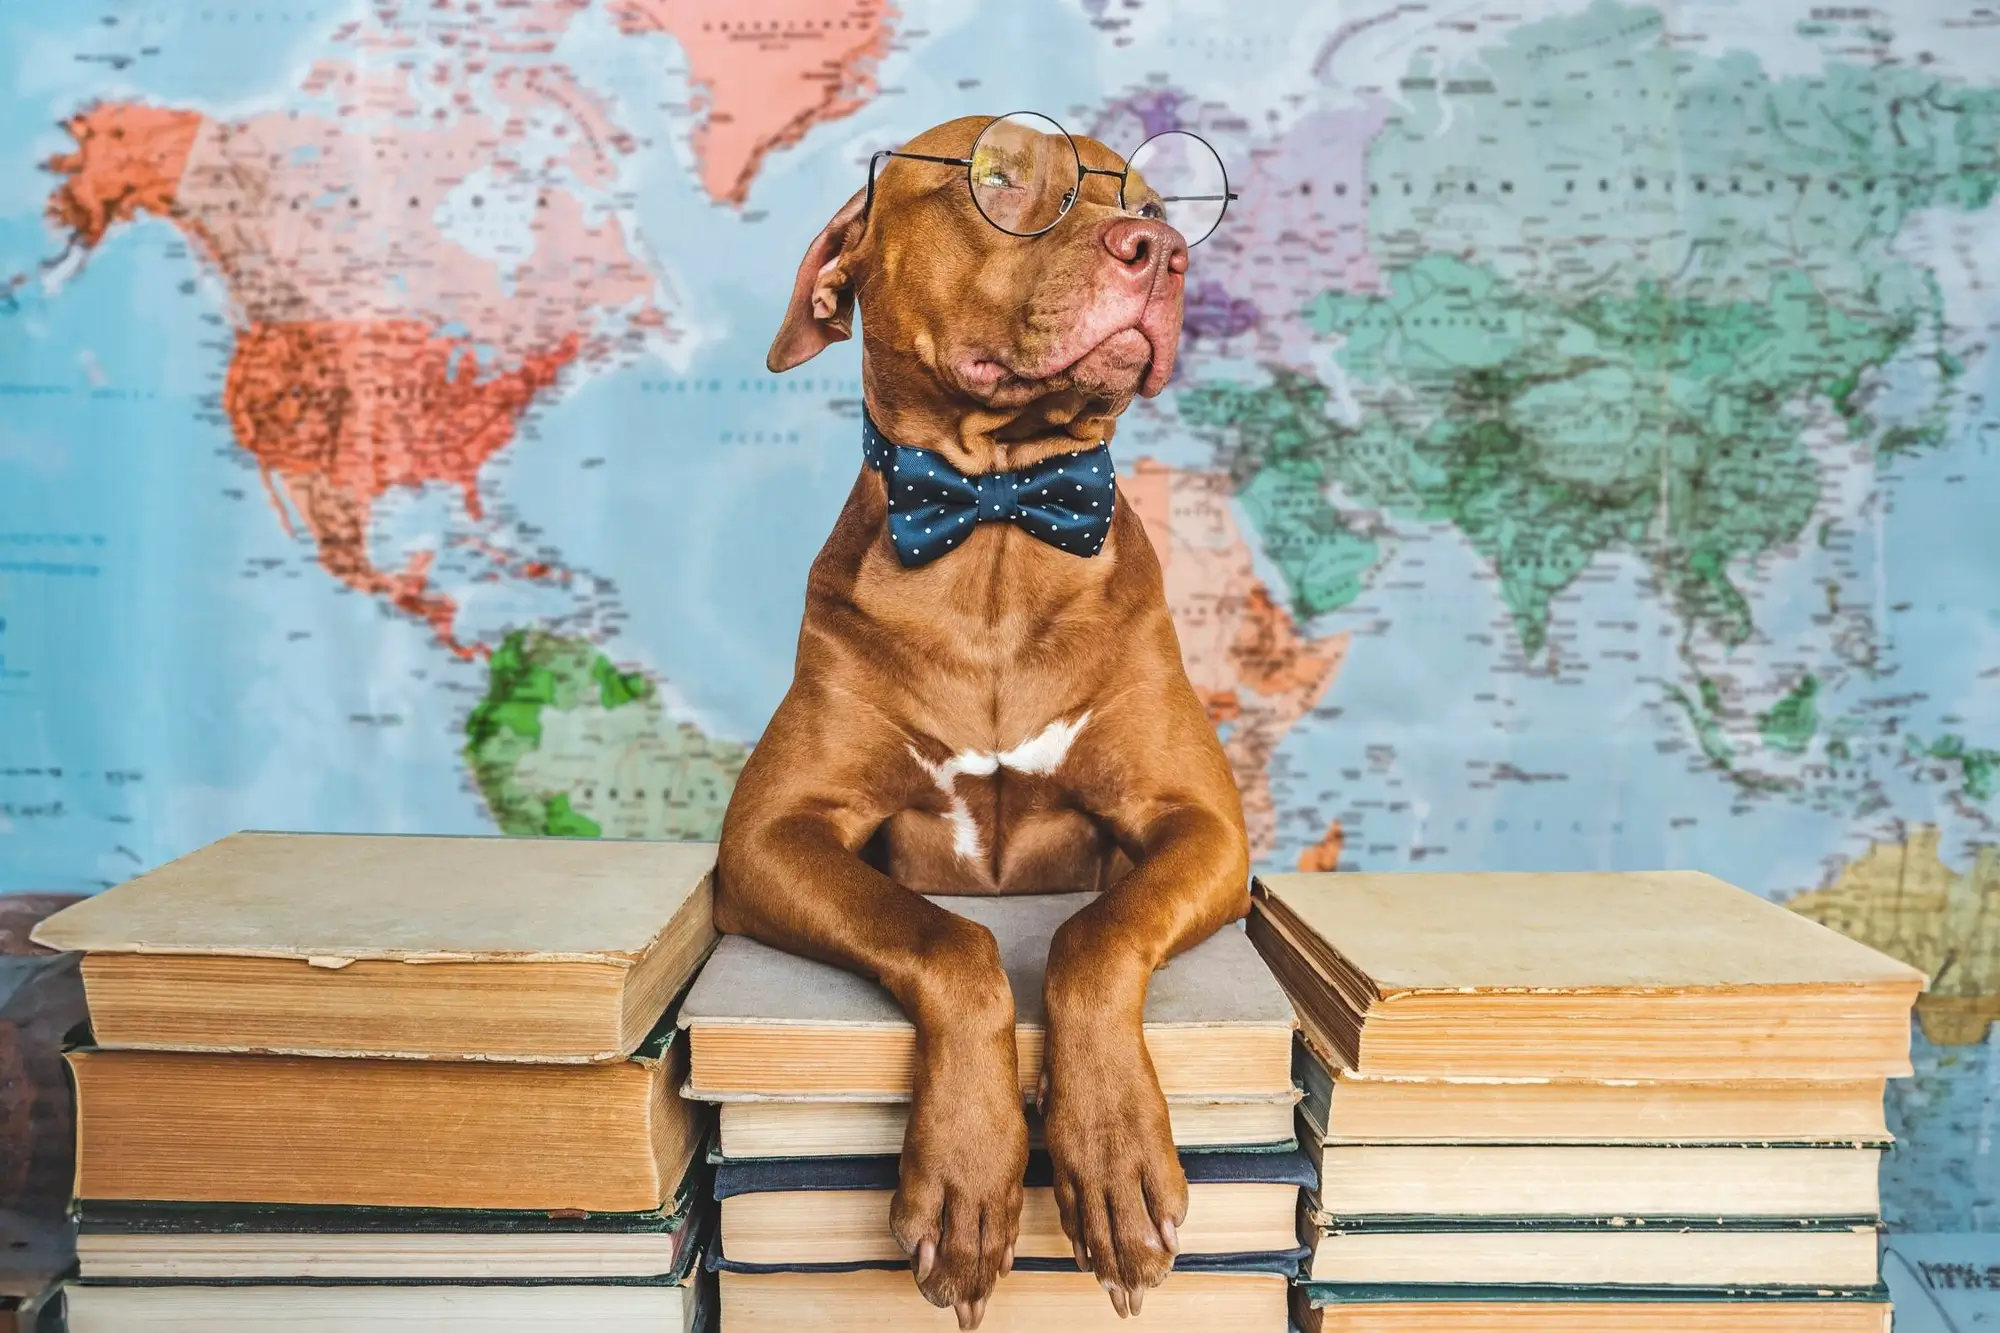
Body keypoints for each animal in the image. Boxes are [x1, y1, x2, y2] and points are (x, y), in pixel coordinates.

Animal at [720, 114, 1248, 1320]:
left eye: (1157, 201)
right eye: (999, 178)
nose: (1158, 250)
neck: (1000, 526)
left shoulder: (1204, 828)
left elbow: (1093, 933)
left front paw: (1113, 1151)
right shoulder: (766, 839)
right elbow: (950, 938)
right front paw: (966, 1171)